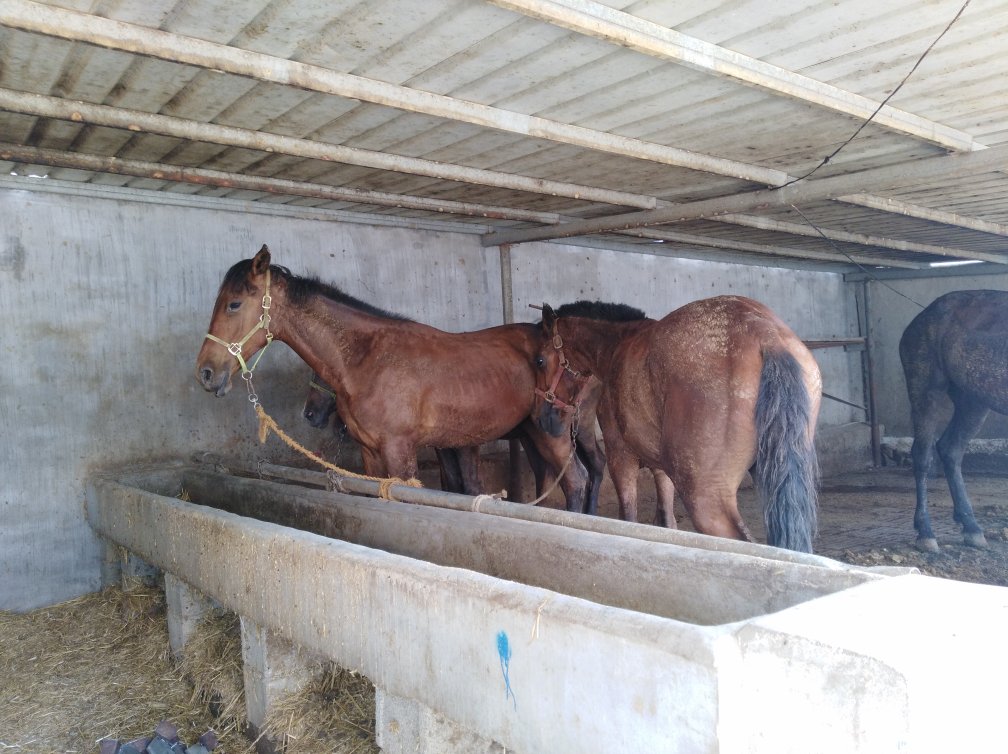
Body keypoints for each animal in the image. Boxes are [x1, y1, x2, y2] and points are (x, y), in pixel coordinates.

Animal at [195, 244, 588, 511]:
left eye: (234, 304)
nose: (206, 373)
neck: (366, 360)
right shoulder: (371, 454)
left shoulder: (400, 452)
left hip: (552, 431)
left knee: (576, 481)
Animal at [534, 296, 822, 552]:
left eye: (539, 360)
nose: (543, 419)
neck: (617, 346)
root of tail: (766, 334)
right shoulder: (662, 468)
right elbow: (667, 522)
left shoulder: (620, 456)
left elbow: (629, 518)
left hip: (705, 497)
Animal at [898, 289, 1008, 552]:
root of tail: (921, 318)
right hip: (926, 390)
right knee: (923, 455)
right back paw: (926, 534)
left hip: (973, 401)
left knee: (951, 449)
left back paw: (972, 527)